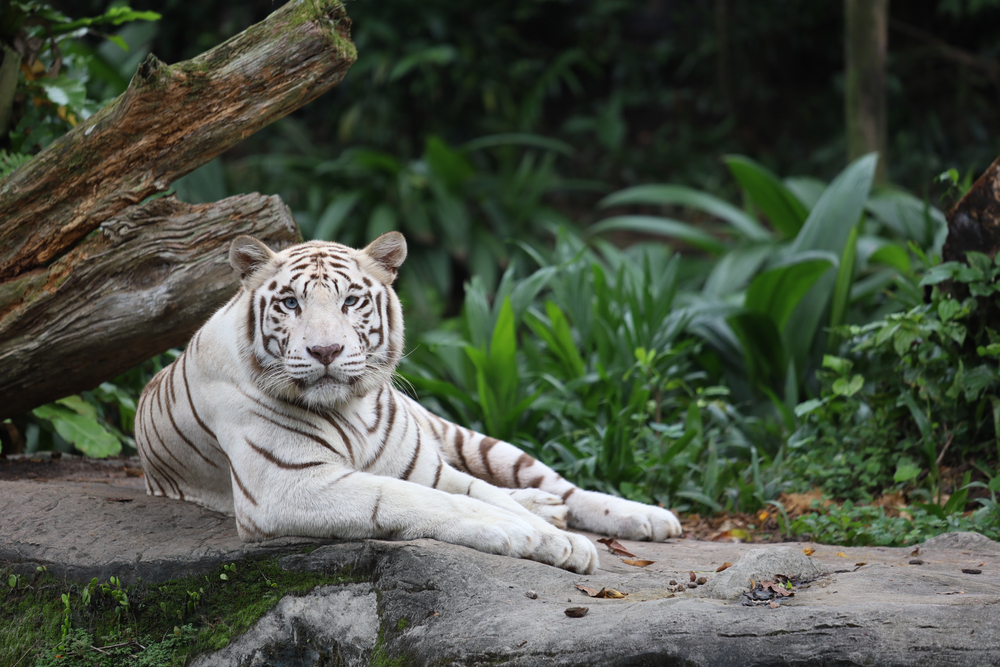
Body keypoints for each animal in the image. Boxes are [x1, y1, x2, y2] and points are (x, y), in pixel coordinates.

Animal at [135, 231, 680, 576]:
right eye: (291, 303)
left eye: (350, 301)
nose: (325, 351)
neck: (351, 409)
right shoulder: (287, 484)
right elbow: (430, 501)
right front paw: (534, 537)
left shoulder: (429, 468)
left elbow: (486, 494)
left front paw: (559, 538)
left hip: (471, 439)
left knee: (557, 485)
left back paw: (647, 517)